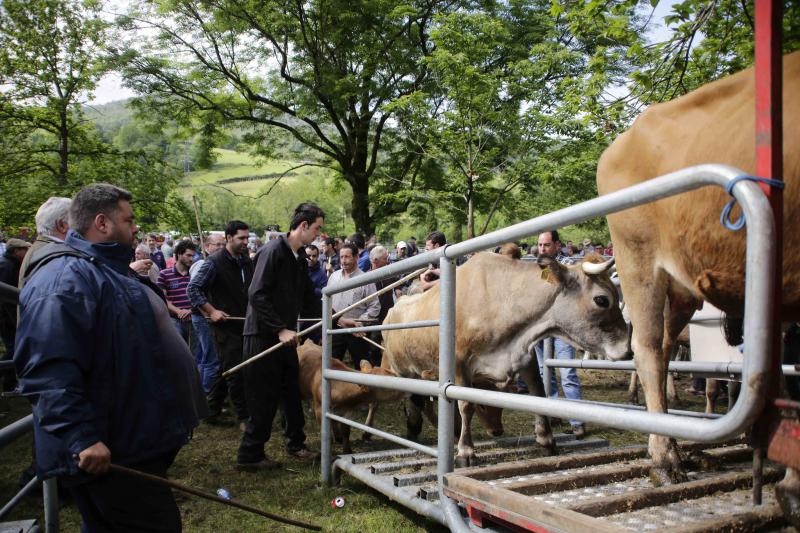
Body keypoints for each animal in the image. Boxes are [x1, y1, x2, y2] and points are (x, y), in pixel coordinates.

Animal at [378, 251, 628, 464]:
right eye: (602, 299)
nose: (628, 348)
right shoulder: (459, 364)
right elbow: (466, 404)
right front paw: (466, 451)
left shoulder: (523, 355)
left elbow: (538, 392)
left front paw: (546, 439)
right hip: (401, 369)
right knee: (413, 399)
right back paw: (414, 428)